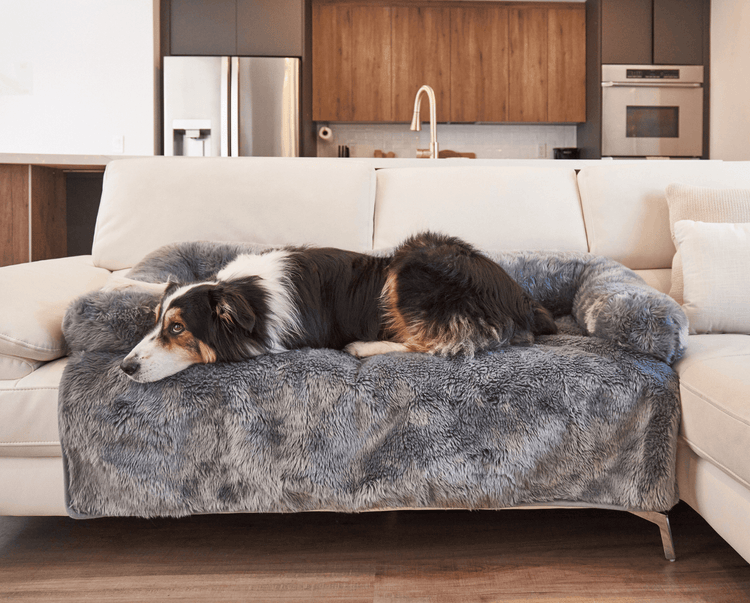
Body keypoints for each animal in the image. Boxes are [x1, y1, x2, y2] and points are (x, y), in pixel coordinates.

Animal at [114, 232, 556, 382]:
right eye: (157, 323)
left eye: (178, 329)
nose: (125, 367)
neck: (251, 297)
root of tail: (521, 298)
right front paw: (124, 282)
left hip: (410, 267)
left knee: (435, 343)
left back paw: (363, 347)